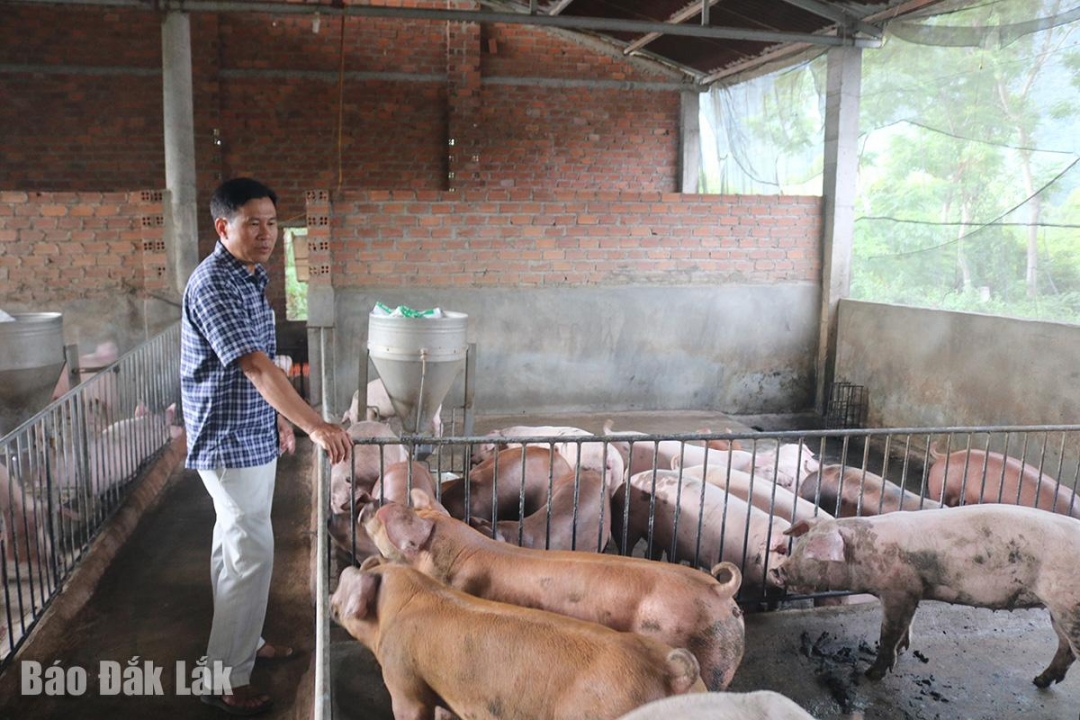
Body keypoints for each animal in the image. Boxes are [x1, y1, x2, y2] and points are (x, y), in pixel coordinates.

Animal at [615, 470, 791, 600]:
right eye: (781, 551)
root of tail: (629, 479)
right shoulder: (723, 560)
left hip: (657, 538)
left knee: (652, 553)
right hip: (630, 526)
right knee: (627, 545)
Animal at [769, 505, 1080, 687]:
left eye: (812, 553)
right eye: (799, 545)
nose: (777, 570)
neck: (866, 554)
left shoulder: (899, 589)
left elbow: (889, 632)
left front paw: (871, 674)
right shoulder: (915, 590)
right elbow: (908, 625)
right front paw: (904, 649)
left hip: (1069, 605)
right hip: (1058, 611)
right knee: (1064, 648)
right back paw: (1039, 681)